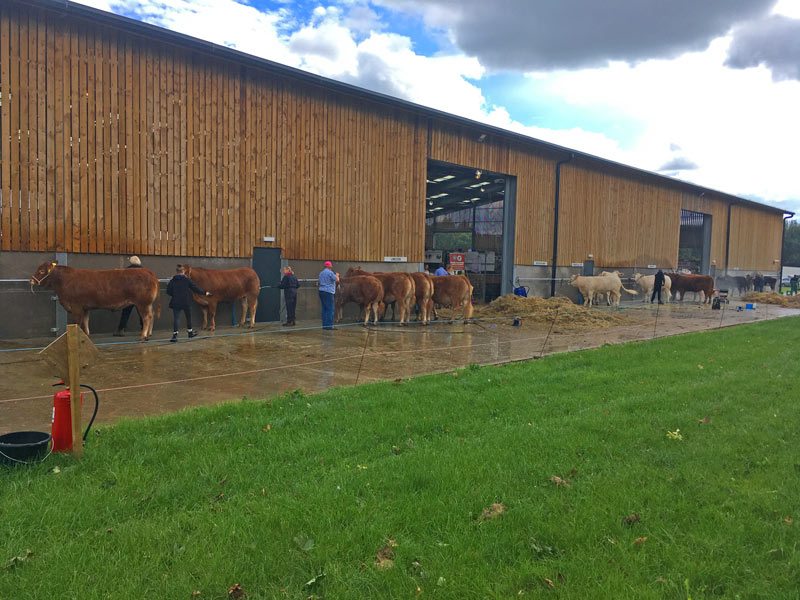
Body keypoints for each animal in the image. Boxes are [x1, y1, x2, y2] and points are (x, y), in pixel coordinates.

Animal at [30, 260, 161, 340]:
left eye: (41, 271)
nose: (31, 281)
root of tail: (147, 271)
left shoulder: (76, 307)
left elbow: (77, 322)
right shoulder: (85, 307)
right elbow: (85, 321)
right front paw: (86, 335)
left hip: (142, 303)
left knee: (147, 317)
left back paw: (143, 336)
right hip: (147, 304)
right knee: (151, 315)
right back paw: (148, 334)